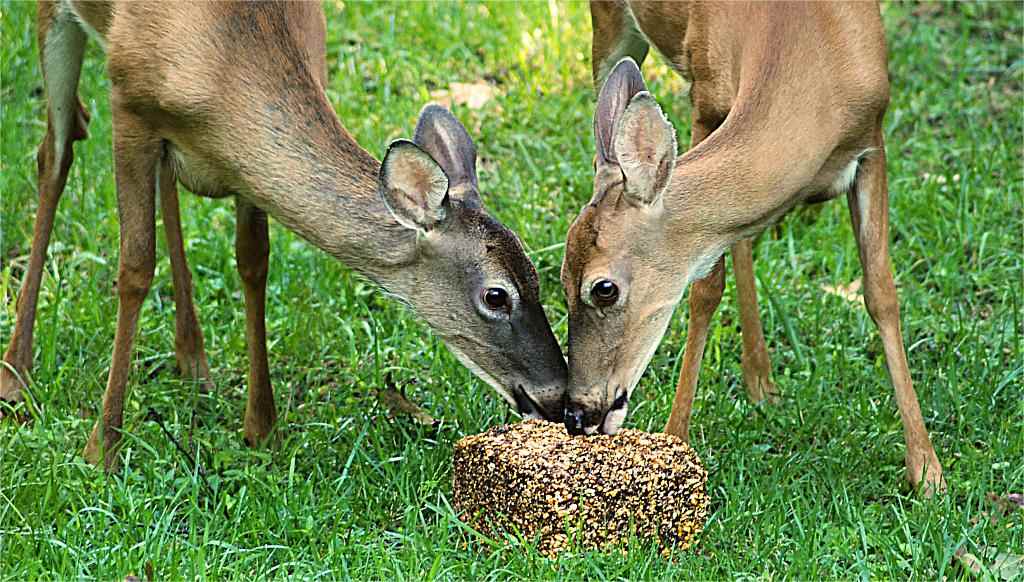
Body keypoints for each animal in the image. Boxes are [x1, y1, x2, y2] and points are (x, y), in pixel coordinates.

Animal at [0, 0, 569, 471]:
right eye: (496, 296)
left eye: (540, 277)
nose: (559, 396)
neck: (224, 72)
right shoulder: (129, 101)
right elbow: (136, 268)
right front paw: (103, 449)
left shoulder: (246, 170)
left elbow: (254, 264)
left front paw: (262, 428)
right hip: (59, 30)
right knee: (56, 150)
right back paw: (15, 373)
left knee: (160, 182)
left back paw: (193, 360)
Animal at [561, 1, 942, 495]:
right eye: (560, 283)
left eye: (603, 288)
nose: (576, 413)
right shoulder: (704, 100)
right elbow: (705, 289)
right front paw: (675, 441)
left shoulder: (872, 140)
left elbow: (881, 294)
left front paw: (927, 470)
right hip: (608, 25)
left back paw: (761, 379)